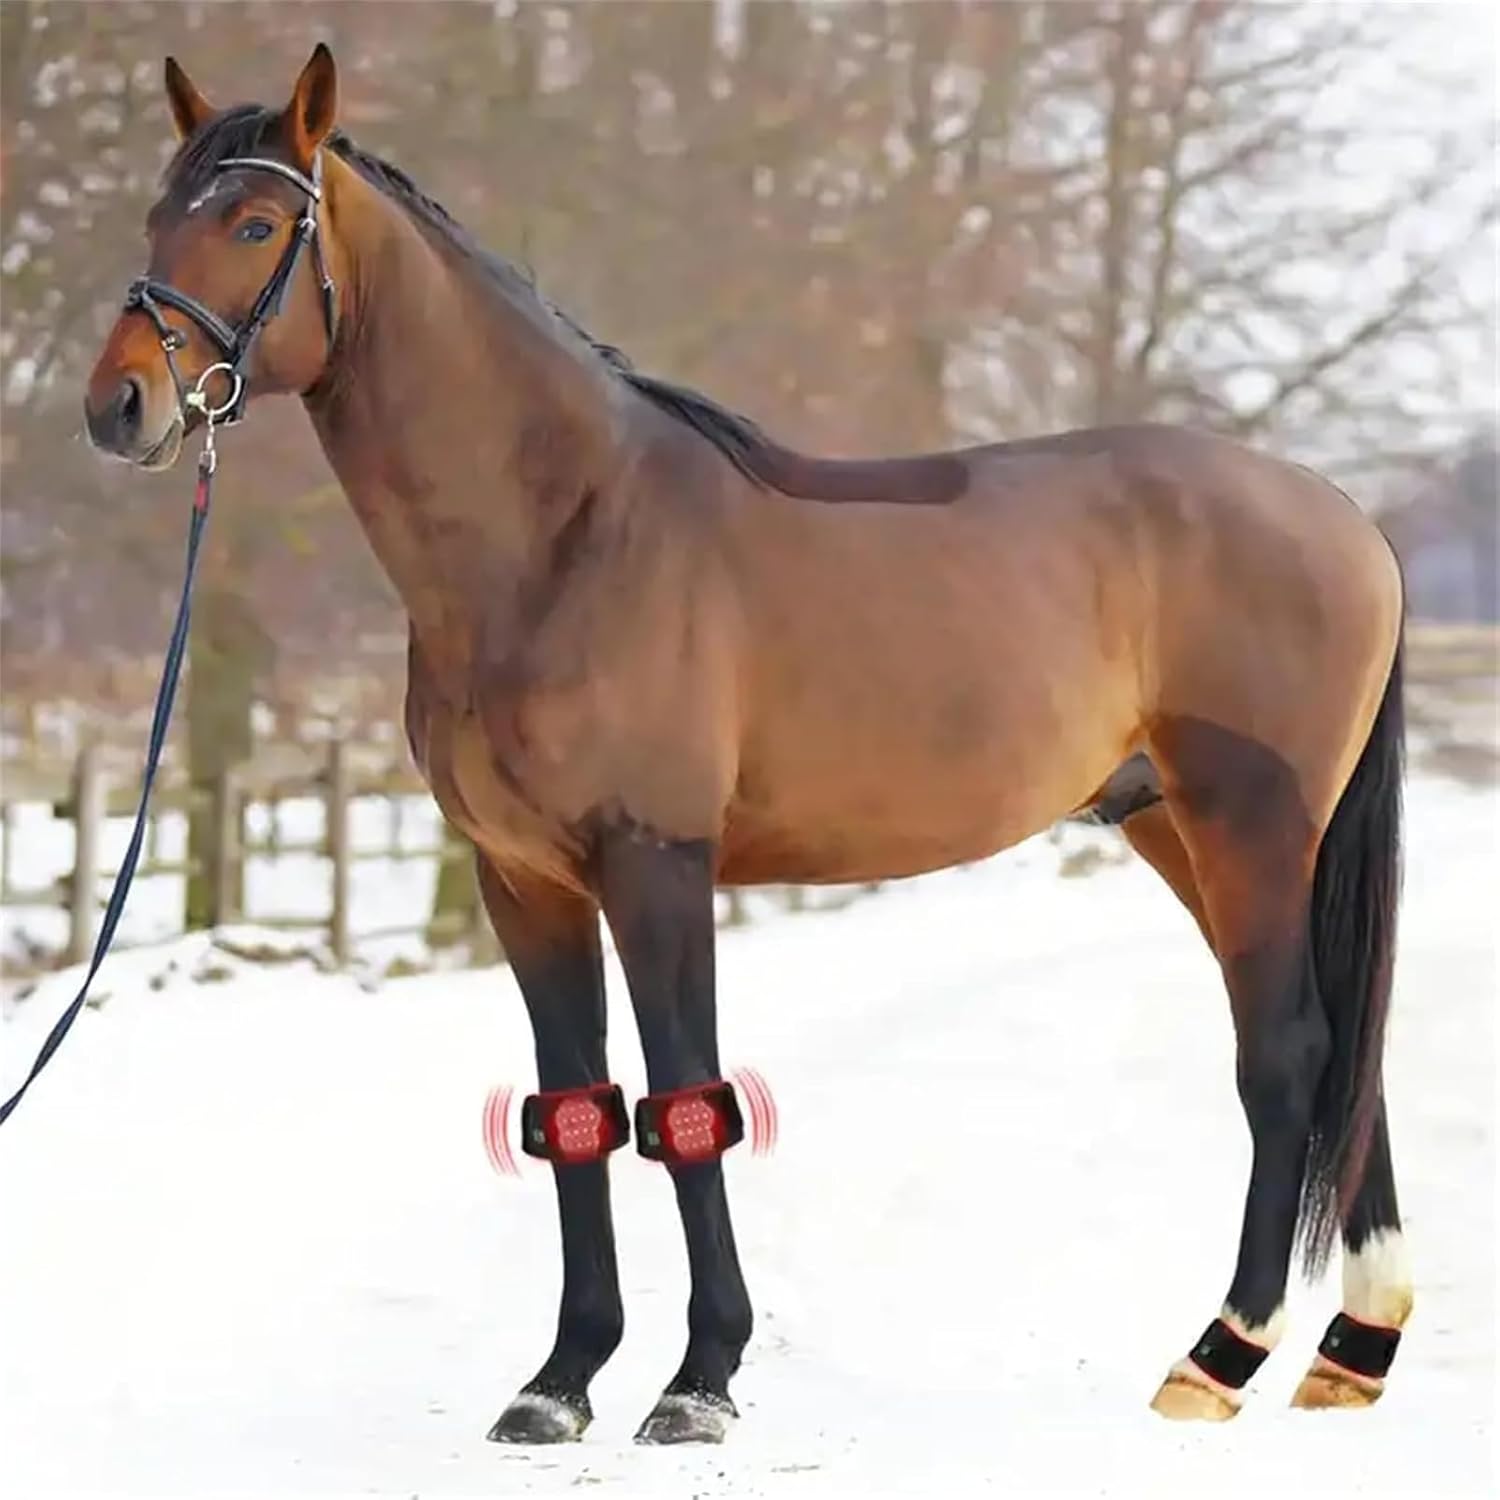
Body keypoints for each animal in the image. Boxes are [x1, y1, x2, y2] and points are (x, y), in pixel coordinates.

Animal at [84, 45, 1411, 1444]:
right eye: (159, 214)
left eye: (254, 223)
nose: (119, 404)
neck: (563, 538)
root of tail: (1343, 517)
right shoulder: (525, 884)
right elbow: (574, 1112)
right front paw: (559, 1382)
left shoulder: (656, 864)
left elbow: (682, 1104)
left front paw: (699, 1377)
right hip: (1184, 832)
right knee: (1341, 1049)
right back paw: (1351, 1350)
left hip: (1249, 826)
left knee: (1289, 1052)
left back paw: (1220, 1355)